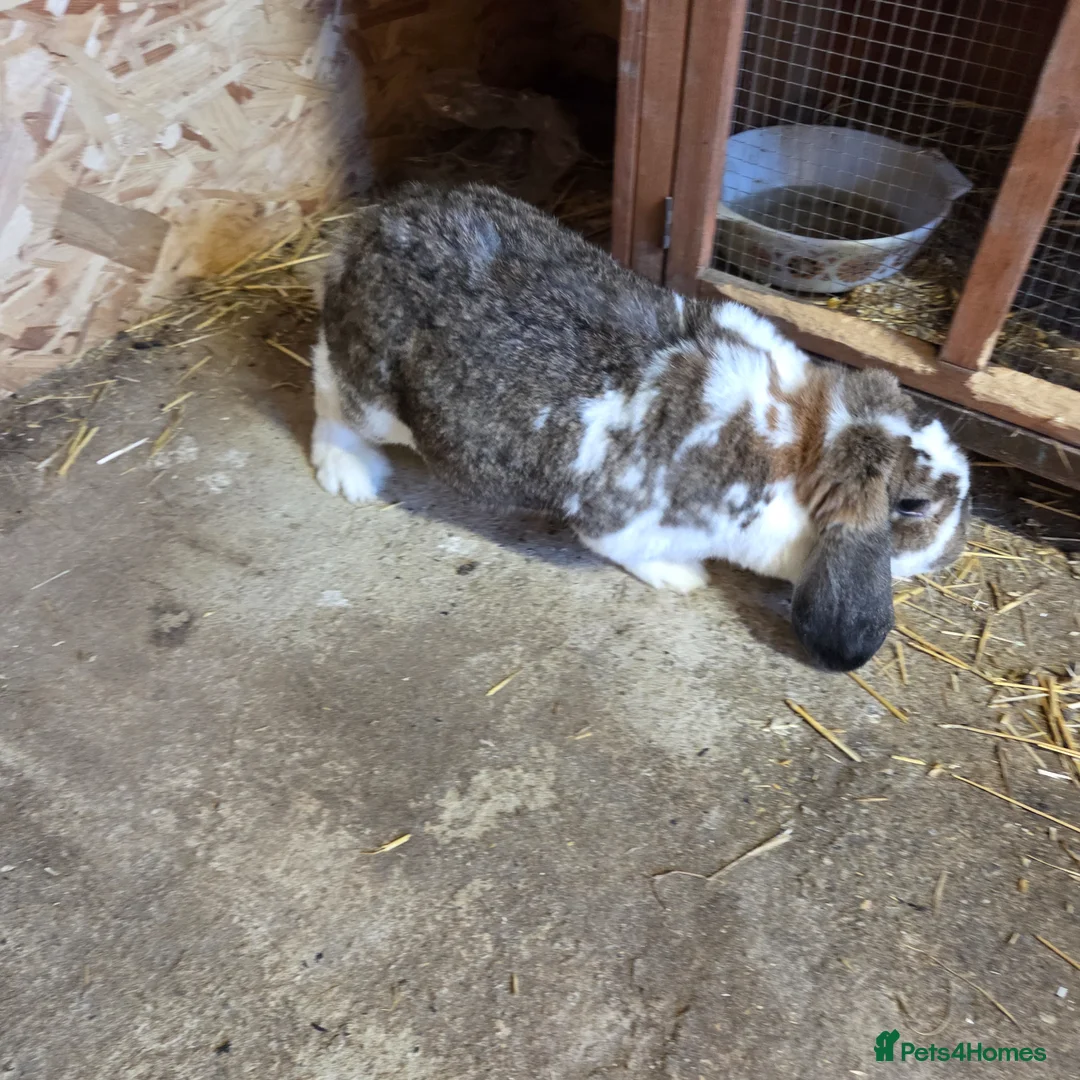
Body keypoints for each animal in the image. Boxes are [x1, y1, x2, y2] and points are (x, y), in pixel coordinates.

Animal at [310, 183, 969, 672]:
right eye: (911, 505)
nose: (954, 551)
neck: (801, 442)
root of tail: (365, 231)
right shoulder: (623, 523)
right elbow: (625, 550)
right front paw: (684, 578)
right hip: (370, 394)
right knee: (327, 390)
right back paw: (350, 475)